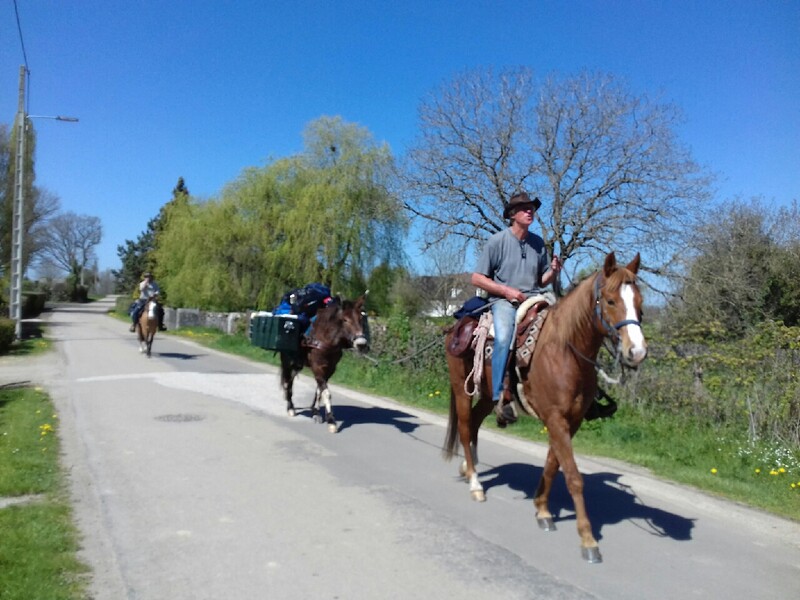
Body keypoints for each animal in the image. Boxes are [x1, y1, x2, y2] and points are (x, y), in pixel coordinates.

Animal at [280, 296, 370, 432]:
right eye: (345, 319)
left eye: (361, 319)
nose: (361, 344)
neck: (325, 339)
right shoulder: (317, 368)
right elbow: (326, 393)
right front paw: (331, 421)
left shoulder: (330, 369)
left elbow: (320, 391)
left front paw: (316, 413)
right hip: (288, 362)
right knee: (288, 382)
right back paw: (290, 408)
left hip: (297, 364)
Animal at [444, 252, 648, 564]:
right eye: (611, 300)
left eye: (640, 302)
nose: (636, 352)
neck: (564, 348)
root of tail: (458, 324)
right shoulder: (555, 419)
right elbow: (573, 477)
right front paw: (588, 540)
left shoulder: (570, 421)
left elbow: (553, 465)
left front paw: (542, 510)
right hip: (460, 387)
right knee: (466, 428)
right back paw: (476, 484)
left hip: (489, 396)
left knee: (476, 423)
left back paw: (469, 468)